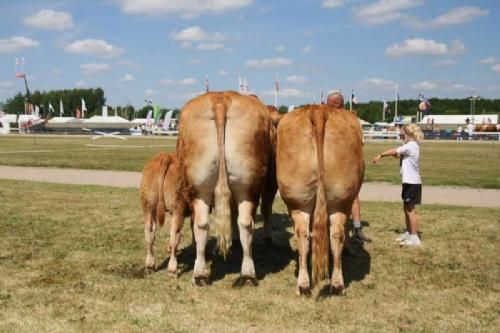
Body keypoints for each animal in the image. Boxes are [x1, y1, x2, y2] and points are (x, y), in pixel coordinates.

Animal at [177, 91, 272, 286]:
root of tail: (221, 99)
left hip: (201, 188)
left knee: (205, 223)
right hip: (244, 187)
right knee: (242, 222)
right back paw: (246, 272)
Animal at [278, 104, 364, 294]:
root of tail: (318, 110)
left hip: (299, 200)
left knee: (305, 233)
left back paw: (306, 284)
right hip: (341, 200)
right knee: (336, 232)